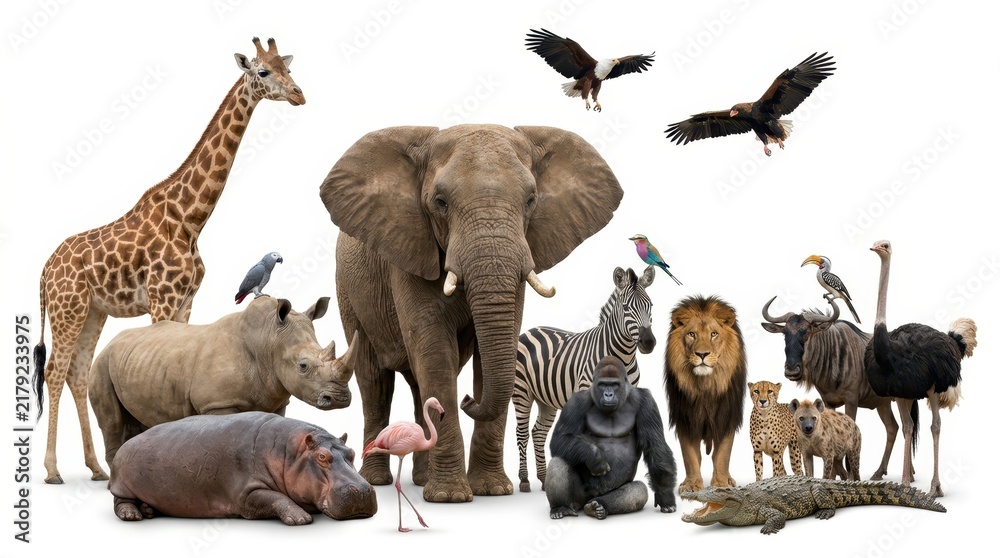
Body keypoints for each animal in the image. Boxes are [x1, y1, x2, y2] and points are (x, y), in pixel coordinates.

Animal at [32, 37, 305, 484]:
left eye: (289, 67)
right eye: (263, 71)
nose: (299, 95)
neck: (191, 219)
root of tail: (44, 270)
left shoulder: (186, 300)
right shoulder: (162, 298)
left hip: (93, 312)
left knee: (77, 372)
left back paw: (94, 467)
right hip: (66, 309)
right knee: (55, 371)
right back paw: (53, 469)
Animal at [319, 124, 623, 503]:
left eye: (530, 201)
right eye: (440, 202)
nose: (466, 400)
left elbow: (490, 352)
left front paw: (493, 491)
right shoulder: (408, 253)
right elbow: (435, 353)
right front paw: (449, 497)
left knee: (417, 386)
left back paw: (421, 478)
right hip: (348, 291)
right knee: (374, 381)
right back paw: (377, 480)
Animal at [663, 295, 747, 494]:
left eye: (714, 334)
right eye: (691, 334)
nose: (702, 354)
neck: (705, 387)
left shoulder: (726, 416)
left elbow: (723, 454)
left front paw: (721, 484)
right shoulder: (685, 418)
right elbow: (690, 456)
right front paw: (692, 485)